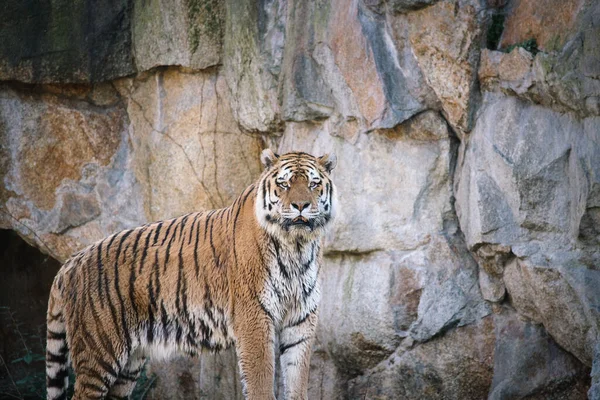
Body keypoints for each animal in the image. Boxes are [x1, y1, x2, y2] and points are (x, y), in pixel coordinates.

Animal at [45, 150, 338, 400]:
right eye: (284, 184)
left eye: (313, 184)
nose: (301, 205)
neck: (296, 245)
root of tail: (72, 261)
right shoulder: (254, 315)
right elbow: (261, 381)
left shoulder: (301, 317)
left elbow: (297, 377)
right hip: (100, 349)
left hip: (130, 362)